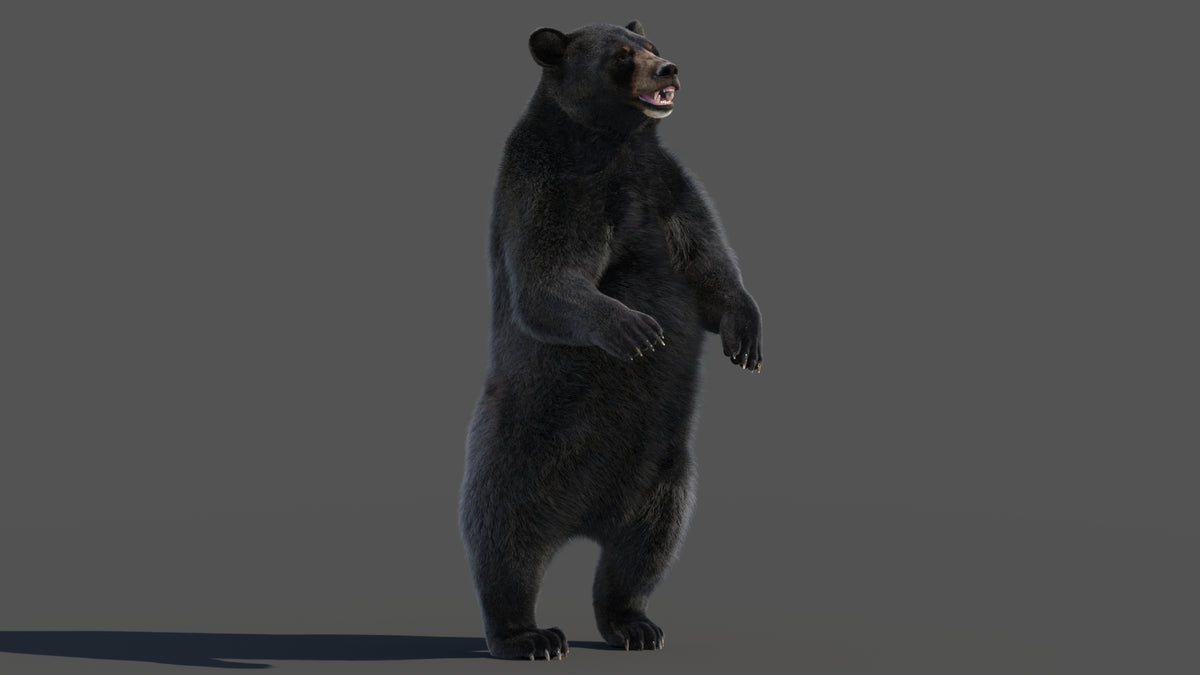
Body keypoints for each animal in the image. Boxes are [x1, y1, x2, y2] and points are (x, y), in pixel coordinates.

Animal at [460, 20, 763, 660]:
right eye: (622, 56)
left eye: (651, 45)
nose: (670, 68)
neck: (611, 140)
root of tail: (579, 521)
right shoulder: (553, 182)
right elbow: (549, 279)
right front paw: (637, 329)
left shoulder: (666, 184)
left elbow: (709, 261)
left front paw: (746, 337)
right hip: (515, 450)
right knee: (502, 537)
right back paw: (528, 636)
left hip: (663, 475)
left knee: (647, 546)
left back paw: (635, 624)